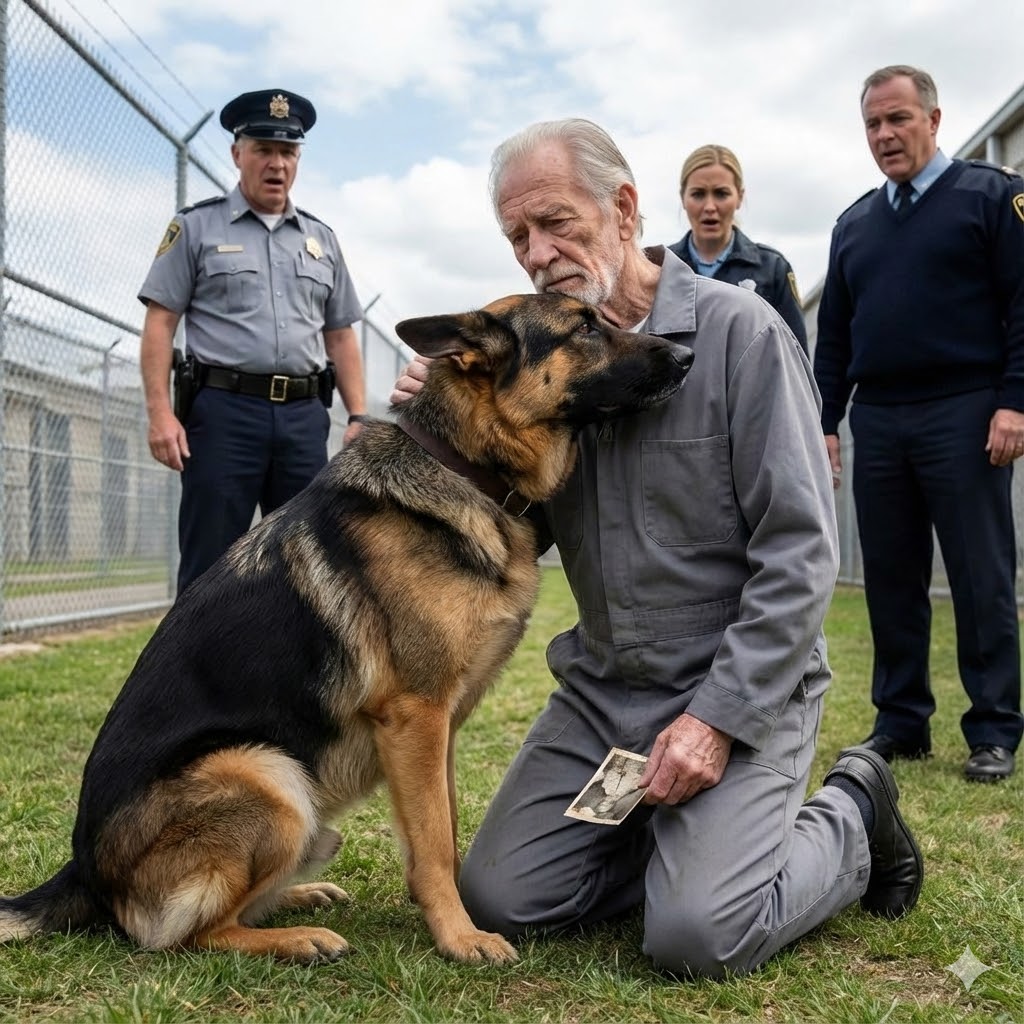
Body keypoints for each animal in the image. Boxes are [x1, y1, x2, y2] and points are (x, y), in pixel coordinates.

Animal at [0, 292, 693, 965]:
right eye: (585, 327)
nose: (686, 356)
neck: (463, 466)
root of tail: (83, 871)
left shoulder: (439, 726)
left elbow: (443, 828)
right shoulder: (416, 715)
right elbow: (434, 841)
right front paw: (459, 937)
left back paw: (299, 898)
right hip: (269, 775)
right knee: (183, 936)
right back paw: (295, 940)